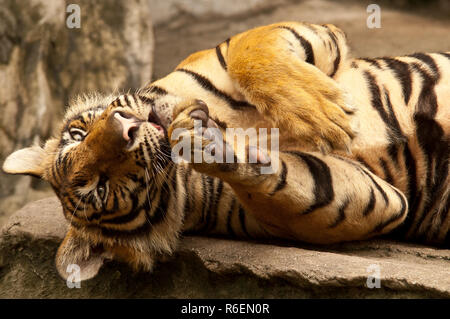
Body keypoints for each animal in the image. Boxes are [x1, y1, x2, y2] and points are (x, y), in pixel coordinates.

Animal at [1, 23, 448, 282]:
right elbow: (283, 184)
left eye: (77, 134)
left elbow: (250, 52)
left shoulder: (271, 39)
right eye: (100, 185)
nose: (124, 129)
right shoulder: (370, 198)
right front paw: (205, 143)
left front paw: (324, 112)